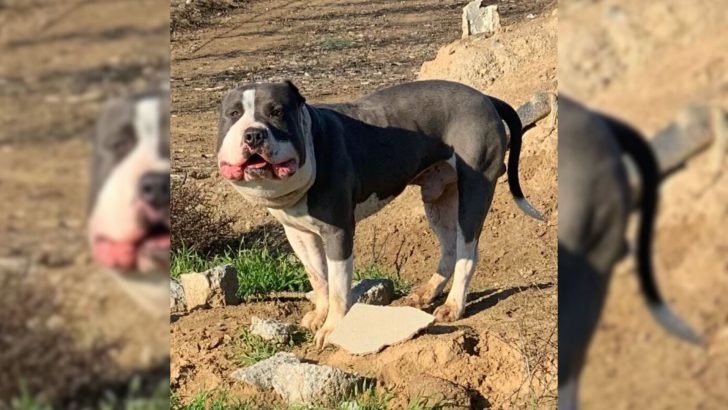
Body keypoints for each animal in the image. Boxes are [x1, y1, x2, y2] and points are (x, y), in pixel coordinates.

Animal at [219, 79, 544, 346]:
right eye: (233, 114)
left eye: (277, 112)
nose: (253, 135)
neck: (311, 140)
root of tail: (484, 97)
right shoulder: (298, 233)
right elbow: (318, 278)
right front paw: (319, 314)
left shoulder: (338, 232)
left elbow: (338, 286)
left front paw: (333, 327)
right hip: (438, 198)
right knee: (450, 248)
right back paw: (428, 292)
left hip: (475, 189)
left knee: (467, 253)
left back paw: (454, 306)